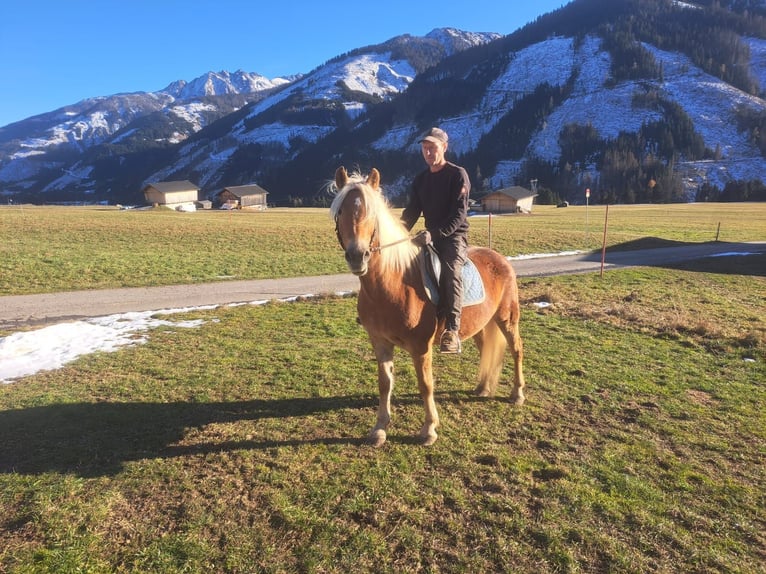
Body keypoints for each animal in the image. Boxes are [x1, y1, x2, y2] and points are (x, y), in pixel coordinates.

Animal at [332, 166, 524, 450]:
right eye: (340, 212)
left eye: (371, 213)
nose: (358, 256)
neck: (394, 282)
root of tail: (500, 259)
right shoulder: (380, 342)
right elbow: (384, 384)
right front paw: (379, 429)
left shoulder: (421, 347)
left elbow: (425, 385)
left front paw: (429, 429)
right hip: (481, 324)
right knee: (486, 349)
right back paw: (483, 387)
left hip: (507, 318)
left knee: (516, 349)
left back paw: (517, 393)